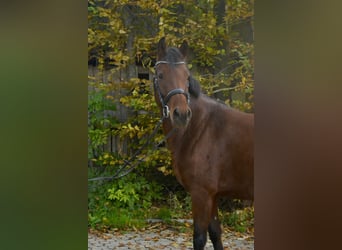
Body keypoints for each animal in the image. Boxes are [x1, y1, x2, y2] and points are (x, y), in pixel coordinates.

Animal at [154, 37, 252, 250]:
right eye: (160, 75)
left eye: (187, 76)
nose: (181, 114)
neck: (202, 128)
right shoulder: (212, 195)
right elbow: (215, 233)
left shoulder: (201, 194)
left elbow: (199, 237)